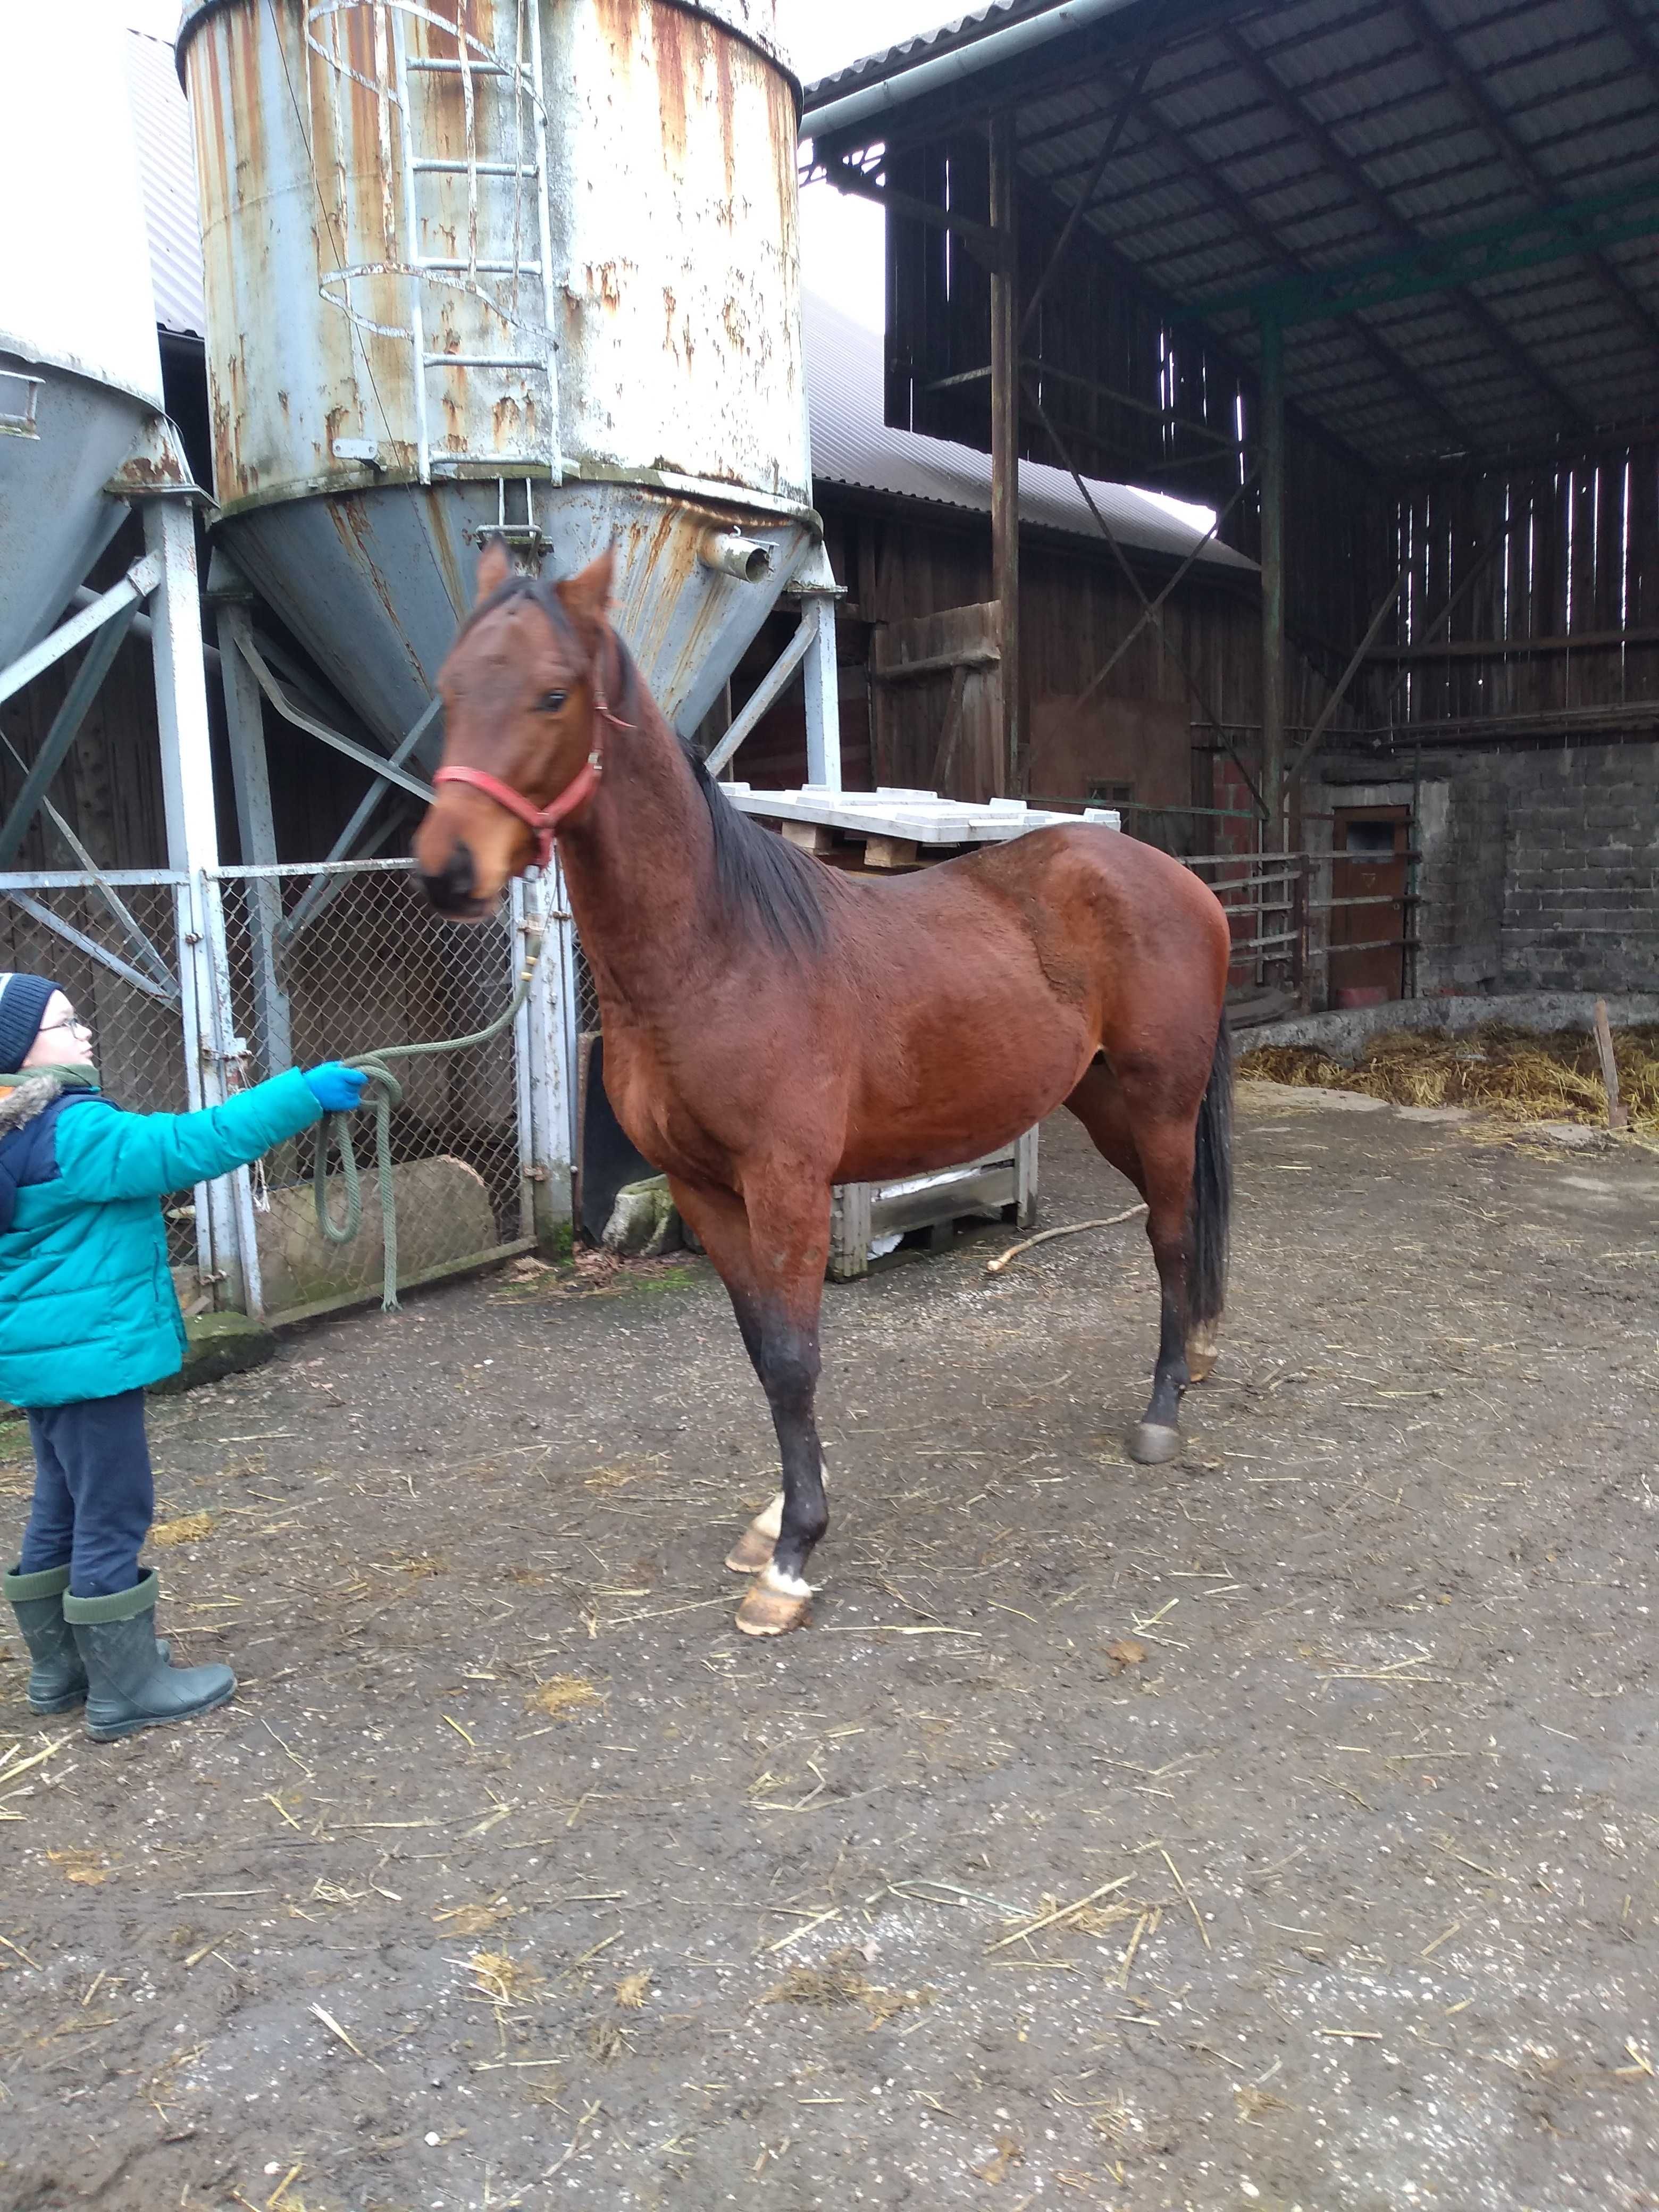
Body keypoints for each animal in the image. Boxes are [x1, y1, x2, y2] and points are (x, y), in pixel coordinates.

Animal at [416, 544, 1238, 1637]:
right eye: (451, 690)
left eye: (553, 694)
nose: (446, 870)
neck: (717, 951)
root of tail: (1182, 881)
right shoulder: (705, 1192)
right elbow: (763, 1350)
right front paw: (775, 1518)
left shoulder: (788, 1186)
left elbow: (796, 1359)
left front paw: (794, 1556)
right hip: (1106, 1103)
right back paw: (1193, 1362)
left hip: (1159, 1104)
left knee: (1173, 1236)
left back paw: (1160, 1411)